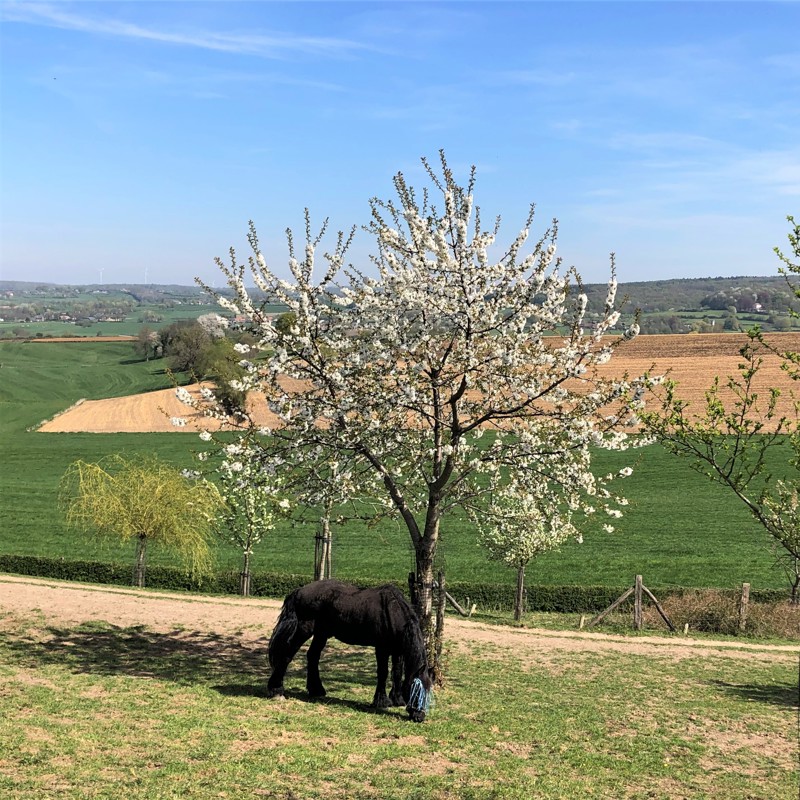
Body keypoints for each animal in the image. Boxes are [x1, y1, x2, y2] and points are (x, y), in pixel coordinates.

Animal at [266, 579, 434, 722]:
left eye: (428, 690)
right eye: (416, 689)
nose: (419, 717)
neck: (392, 611)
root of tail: (299, 591)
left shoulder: (397, 650)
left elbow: (397, 673)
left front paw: (397, 699)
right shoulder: (382, 648)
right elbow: (383, 673)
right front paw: (381, 701)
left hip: (322, 633)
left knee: (313, 655)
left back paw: (316, 690)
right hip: (304, 629)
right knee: (287, 654)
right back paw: (276, 690)